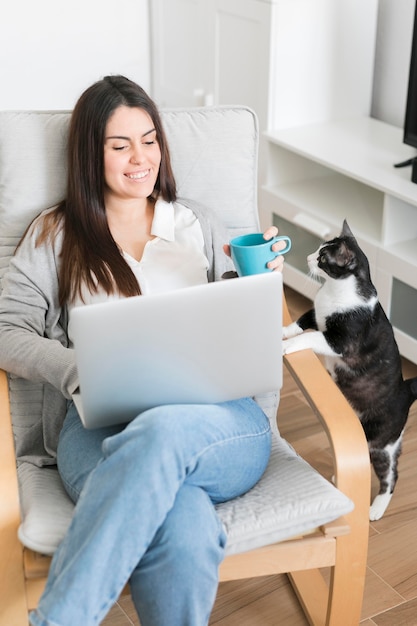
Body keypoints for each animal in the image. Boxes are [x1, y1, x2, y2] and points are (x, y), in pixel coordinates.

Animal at [282, 222, 416, 520]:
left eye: (323, 258)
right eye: (318, 249)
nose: (308, 257)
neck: (334, 291)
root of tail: (407, 390)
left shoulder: (341, 341)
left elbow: (310, 337)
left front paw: (287, 345)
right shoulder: (316, 314)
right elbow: (302, 320)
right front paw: (284, 331)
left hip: (380, 442)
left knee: (391, 475)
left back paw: (376, 508)